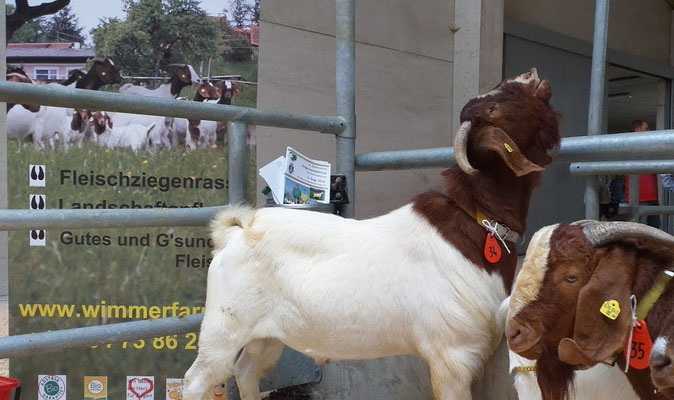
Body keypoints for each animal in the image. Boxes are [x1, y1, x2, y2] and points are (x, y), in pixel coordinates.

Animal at [181, 69, 560, 400]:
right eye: (493, 109)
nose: (532, 75)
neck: (477, 222)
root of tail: (239, 230)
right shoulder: (450, 355)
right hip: (224, 325)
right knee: (197, 379)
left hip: (267, 335)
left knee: (246, 371)